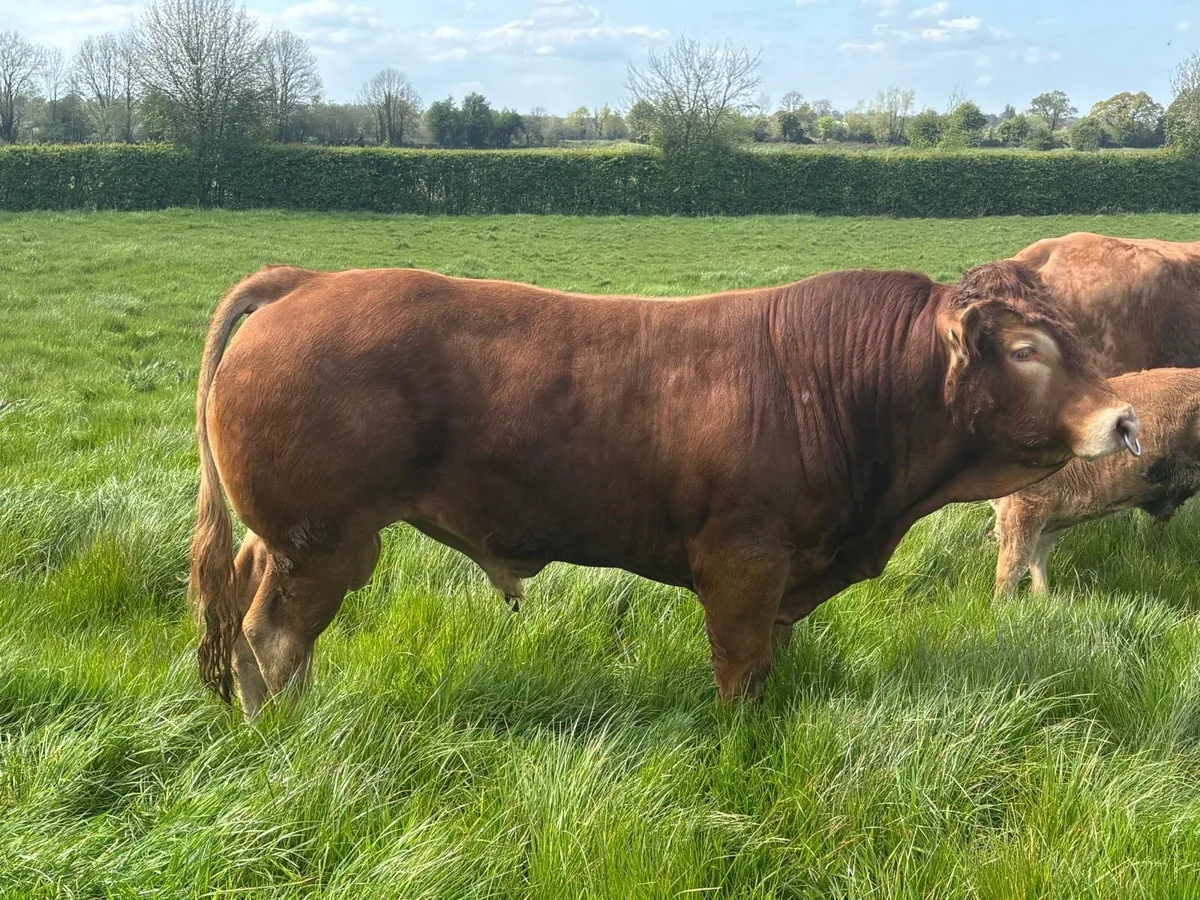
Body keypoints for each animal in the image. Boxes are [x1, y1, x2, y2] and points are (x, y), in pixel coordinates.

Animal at [189, 262, 1139, 719]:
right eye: (1026, 350)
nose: (1127, 419)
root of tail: (310, 282)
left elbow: (772, 661)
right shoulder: (743, 561)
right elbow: (741, 670)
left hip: (292, 539)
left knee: (251, 608)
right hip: (323, 540)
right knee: (273, 637)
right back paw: (284, 735)